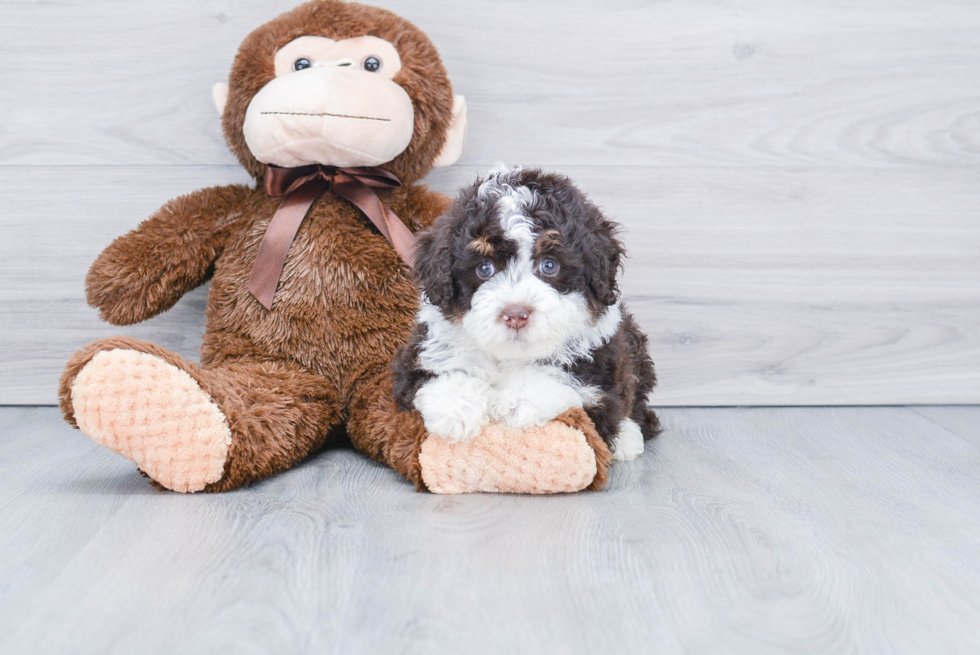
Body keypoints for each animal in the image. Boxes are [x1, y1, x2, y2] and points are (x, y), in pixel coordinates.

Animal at [390, 164, 660, 462]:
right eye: (484, 268)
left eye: (549, 265)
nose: (516, 313)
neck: (510, 355)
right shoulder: (416, 358)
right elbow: (435, 374)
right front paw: (458, 407)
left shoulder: (599, 374)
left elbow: (565, 381)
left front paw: (516, 399)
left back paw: (628, 438)